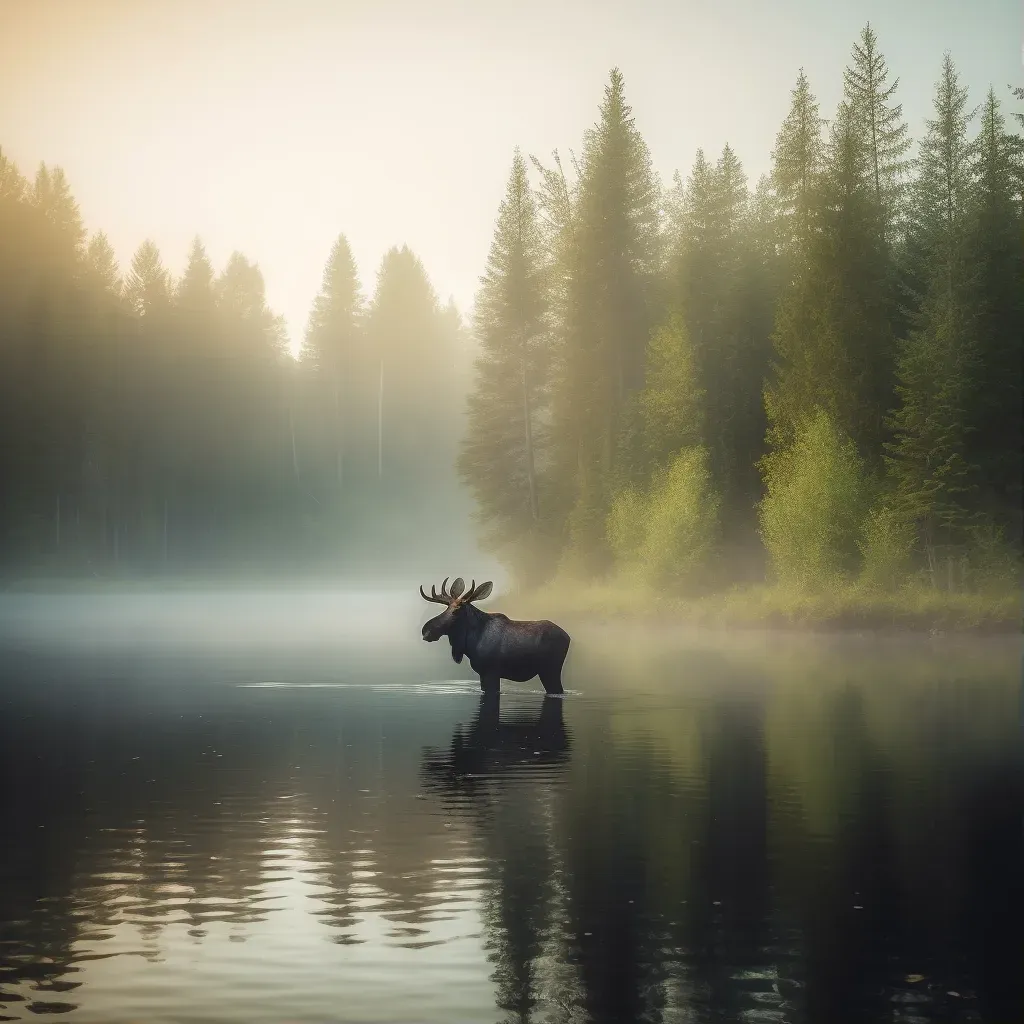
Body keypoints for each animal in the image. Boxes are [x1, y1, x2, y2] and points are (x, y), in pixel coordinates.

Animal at [419, 577, 573, 696]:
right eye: (447, 607)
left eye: (457, 610)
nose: (426, 630)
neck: (470, 643)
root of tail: (568, 636)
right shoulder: (483, 674)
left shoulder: (490, 672)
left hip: (550, 670)